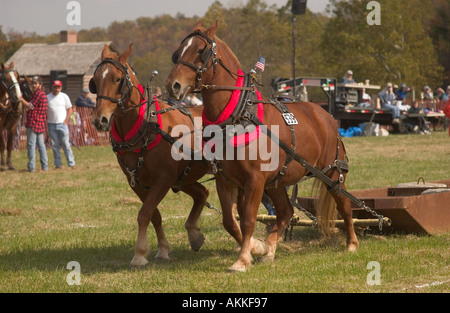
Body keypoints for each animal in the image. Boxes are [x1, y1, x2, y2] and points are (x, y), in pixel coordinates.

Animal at [92, 44, 211, 266]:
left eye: (117, 79)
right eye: (95, 81)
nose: (99, 120)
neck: (146, 125)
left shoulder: (163, 179)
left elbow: (144, 213)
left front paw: (139, 254)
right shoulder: (137, 181)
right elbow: (154, 215)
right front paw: (162, 249)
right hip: (184, 177)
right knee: (202, 193)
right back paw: (194, 234)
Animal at [165, 21, 358, 270]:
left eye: (201, 51)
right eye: (178, 52)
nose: (173, 85)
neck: (238, 115)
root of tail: (326, 115)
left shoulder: (255, 180)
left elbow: (248, 219)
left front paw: (242, 260)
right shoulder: (225, 179)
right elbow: (230, 221)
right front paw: (256, 247)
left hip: (332, 172)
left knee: (344, 203)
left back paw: (351, 243)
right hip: (277, 181)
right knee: (285, 212)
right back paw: (270, 248)